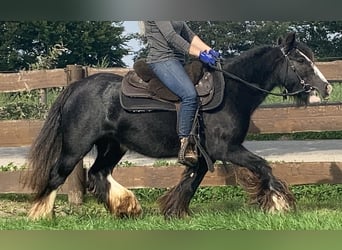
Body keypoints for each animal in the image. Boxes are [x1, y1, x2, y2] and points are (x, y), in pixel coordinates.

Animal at [26, 32, 332, 219]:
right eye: (300, 60)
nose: (326, 88)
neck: (232, 91)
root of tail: (76, 86)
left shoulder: (205, 155)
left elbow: (191, 181)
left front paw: (174, 211)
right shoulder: (227, 149)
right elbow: (263, 167)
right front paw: (279, 204)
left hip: (113, 146)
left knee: (98, 174)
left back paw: (126, 206)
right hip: (75, 146)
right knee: (58, 175)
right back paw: (39, 214)